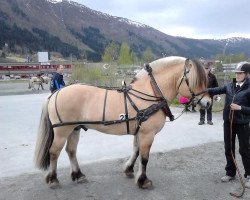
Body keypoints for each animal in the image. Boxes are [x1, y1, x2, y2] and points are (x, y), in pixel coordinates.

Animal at [33, 55, 211, 189]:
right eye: (196, 80)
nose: (208, 103)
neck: (151, 92)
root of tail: (56, 93)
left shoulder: (140, 132)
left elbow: (136, 151)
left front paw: (129, 169)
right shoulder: (148, 134)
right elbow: (144, 157)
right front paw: (143, 180)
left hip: (74, 129)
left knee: (71, 151)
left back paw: (78, 175)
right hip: (62, 131)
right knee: (54, 152)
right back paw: (53, 179)